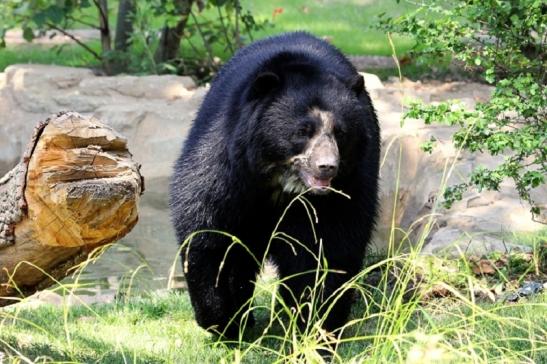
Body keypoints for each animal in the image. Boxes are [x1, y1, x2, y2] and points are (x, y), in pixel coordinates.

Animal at [171, 31, 382, 338]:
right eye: (303, 131)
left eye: (340, 133)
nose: (327, 166)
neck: (279, 181)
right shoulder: (225, 163)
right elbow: (211, 233)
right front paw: (223, 321)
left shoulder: (348, 185)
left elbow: (330, 247)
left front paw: (315, 323)